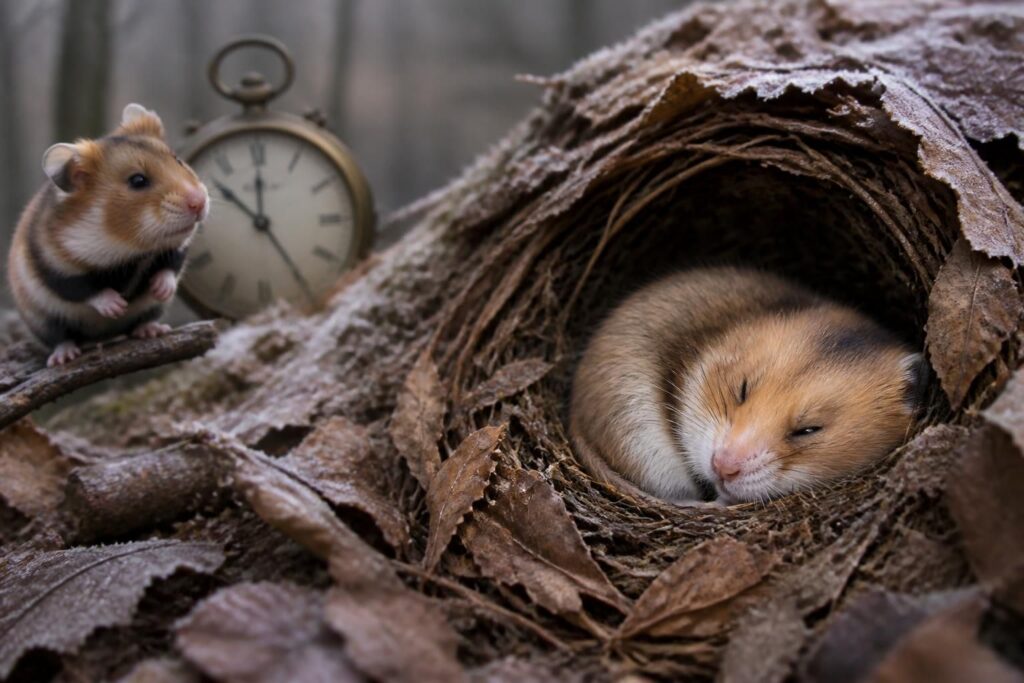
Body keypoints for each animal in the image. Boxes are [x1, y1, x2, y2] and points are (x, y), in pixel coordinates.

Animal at [6, 104, 209, 367]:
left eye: (178, 160)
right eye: (137, 180)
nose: (200, 202)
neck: (131, 244)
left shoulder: (176, 248)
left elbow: (170, 266)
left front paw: (160, 289)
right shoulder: (52, 263)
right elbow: (83, 288)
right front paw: (117, 306)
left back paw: (152, 329)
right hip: (42, 319)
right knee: (60, 337)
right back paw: (64, 356)